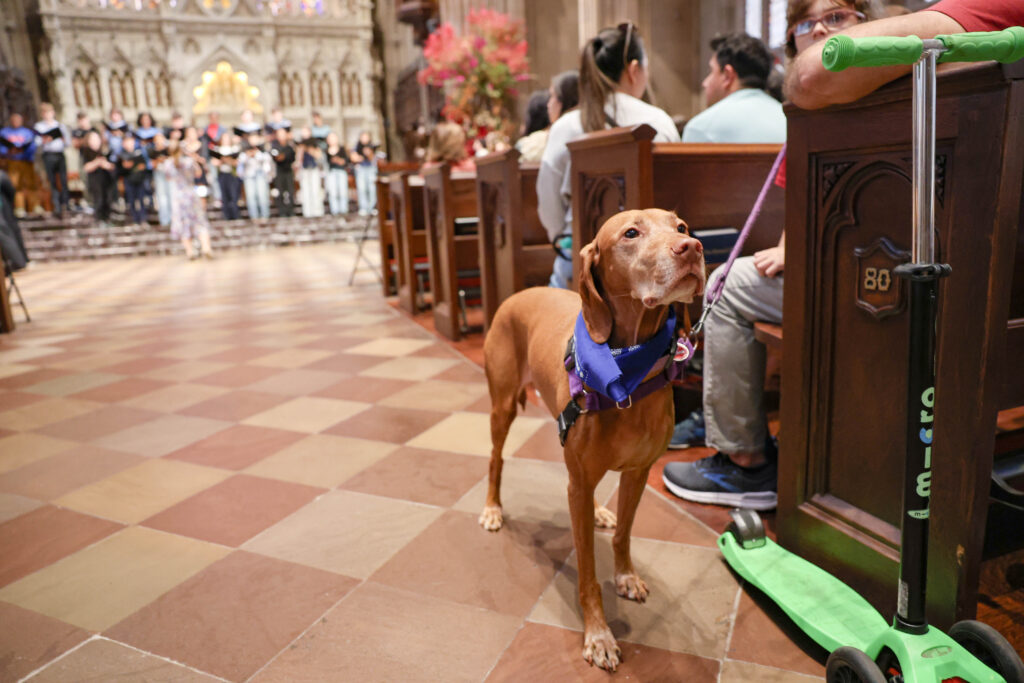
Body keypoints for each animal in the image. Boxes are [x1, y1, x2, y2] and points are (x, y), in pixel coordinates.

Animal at [477, 206, 704, 667]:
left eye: (681, 227)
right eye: (631, 233)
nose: (692, 247)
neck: (629, 375)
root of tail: (517, 294)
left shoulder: (637, 473)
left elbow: (623, 536)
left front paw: (626, 575)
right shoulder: (578, 483)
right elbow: (586, 574)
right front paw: (598, 634)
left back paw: (600, 510)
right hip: (503, 406)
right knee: (496, 457)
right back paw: (493, 508)